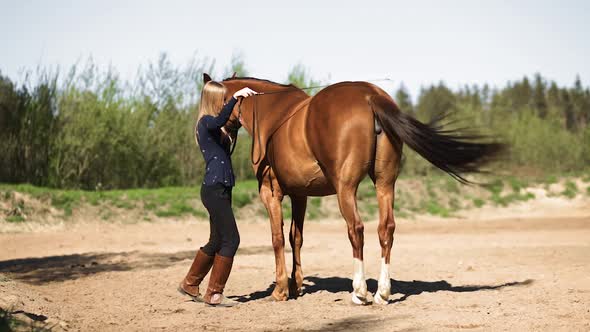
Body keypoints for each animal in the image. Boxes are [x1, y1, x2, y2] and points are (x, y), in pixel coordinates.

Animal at [207, 74, 504, 304]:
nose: (218, 131)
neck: (273, 114)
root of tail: (370, 95)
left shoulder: (272, 194)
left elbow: (278, 238)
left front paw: (281, 290)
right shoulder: (301, 194)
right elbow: (296, 238)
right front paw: (296, 285)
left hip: (346, 189)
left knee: (356, 230)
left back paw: (359, 291)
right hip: (385, 184)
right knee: (386, 229)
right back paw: (382, 293)